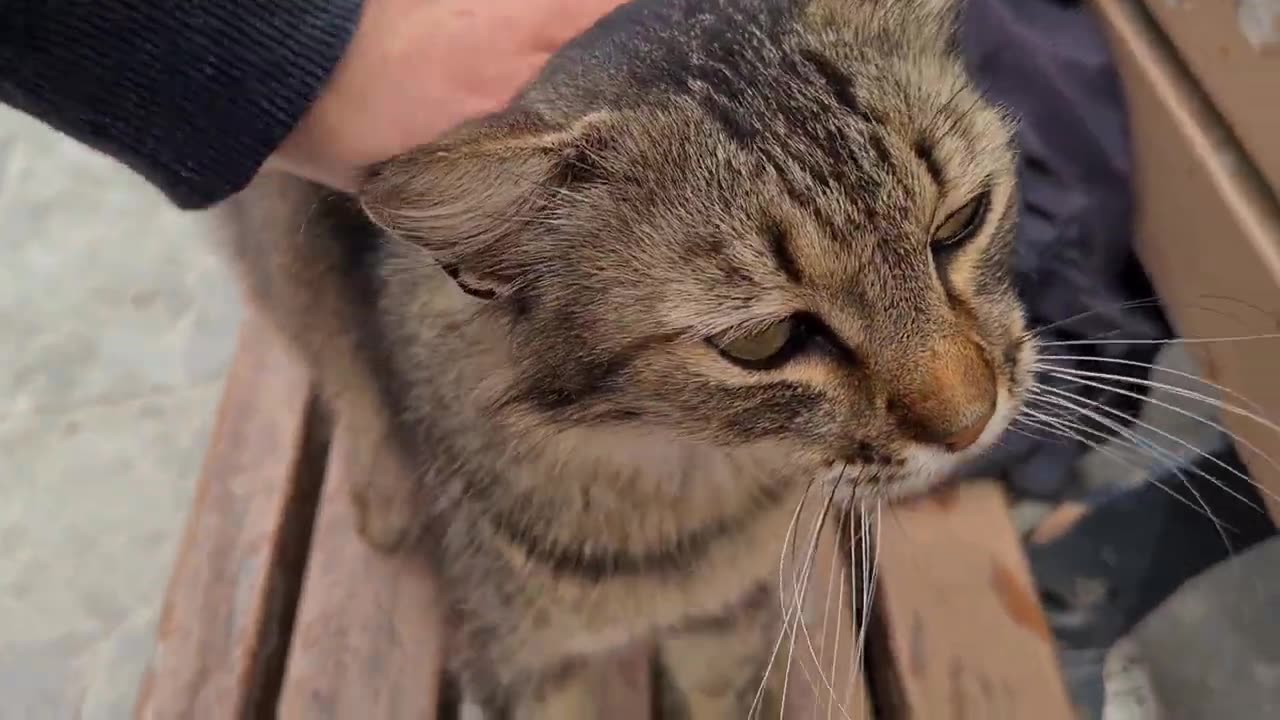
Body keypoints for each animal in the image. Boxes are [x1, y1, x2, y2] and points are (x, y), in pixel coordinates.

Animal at [225, 0, 1034, 712]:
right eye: (762, 342)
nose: (971, 422)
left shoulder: (720, 623)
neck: (676, 464)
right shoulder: (520, 665)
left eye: (961, 222)